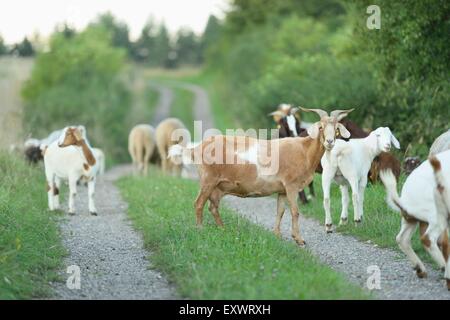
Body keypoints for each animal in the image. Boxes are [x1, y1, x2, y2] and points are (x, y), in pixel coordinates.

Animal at [170, 107, 356, 245]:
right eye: (321, 127)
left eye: (337, 129)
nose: (330, 142)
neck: (304, 150)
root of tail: (197, 148)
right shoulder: (291, 186)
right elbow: (295, 212)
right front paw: (299, 239)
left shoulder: (282, 190)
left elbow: (280, 211)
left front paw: (277, 235)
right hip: (208, 180)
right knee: (199, 204)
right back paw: (200, 229)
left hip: (217, 186)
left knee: (213, 207)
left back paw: (223, 229)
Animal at [380, 151, 450, 288]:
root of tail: (404, 201)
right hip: (437, 216)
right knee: (429, 239)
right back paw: (443, 267)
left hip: (411, 220)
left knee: (402, 238)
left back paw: (420, 269)